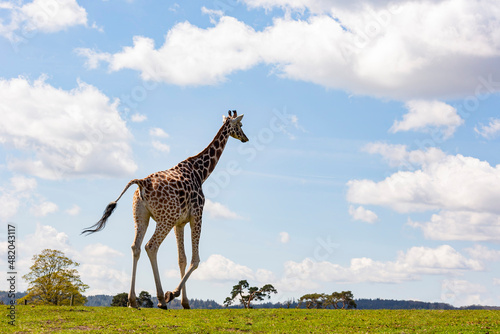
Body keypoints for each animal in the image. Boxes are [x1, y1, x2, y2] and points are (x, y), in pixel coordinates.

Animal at [83, 111, 249, 310]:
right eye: (240, 125)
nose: (246, 138)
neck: (201, 173)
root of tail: (141, 183)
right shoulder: (197, 215)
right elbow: (195, 259)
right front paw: (173, 294)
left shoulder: (180, 222)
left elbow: (181, 259)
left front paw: (185, 302)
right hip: (165, 220)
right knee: (151, 246)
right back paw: (161, 299)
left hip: (141, 217)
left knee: (136, 247)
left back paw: (132, 300)